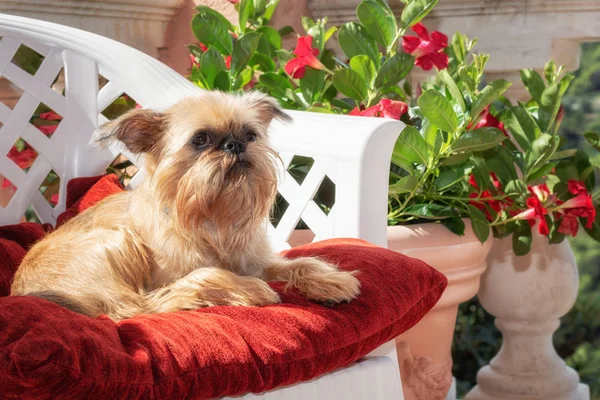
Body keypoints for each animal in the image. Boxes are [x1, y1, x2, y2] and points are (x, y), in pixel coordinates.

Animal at [10, 92, 360, 320]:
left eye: (250, 135)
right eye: (201, 139)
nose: (234, 144)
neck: (213, 216)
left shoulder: (254, 261)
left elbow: (299, 262)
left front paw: (330, 279)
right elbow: (207, 273)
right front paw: (250, 288)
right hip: (115, 240)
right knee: (137, 308)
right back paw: (237, 293)